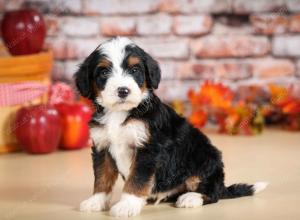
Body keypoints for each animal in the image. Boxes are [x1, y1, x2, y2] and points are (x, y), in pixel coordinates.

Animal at [75, 37, 268, 217]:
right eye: (104, 72)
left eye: (135, 70)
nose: (123, 91)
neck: (120, 113)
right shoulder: (102, 146)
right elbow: (102, 176)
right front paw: (96, 201)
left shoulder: (148, 149)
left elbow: (137, 179)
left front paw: (127, 205)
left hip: (204, 158)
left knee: (213, 193)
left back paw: (191, 197)